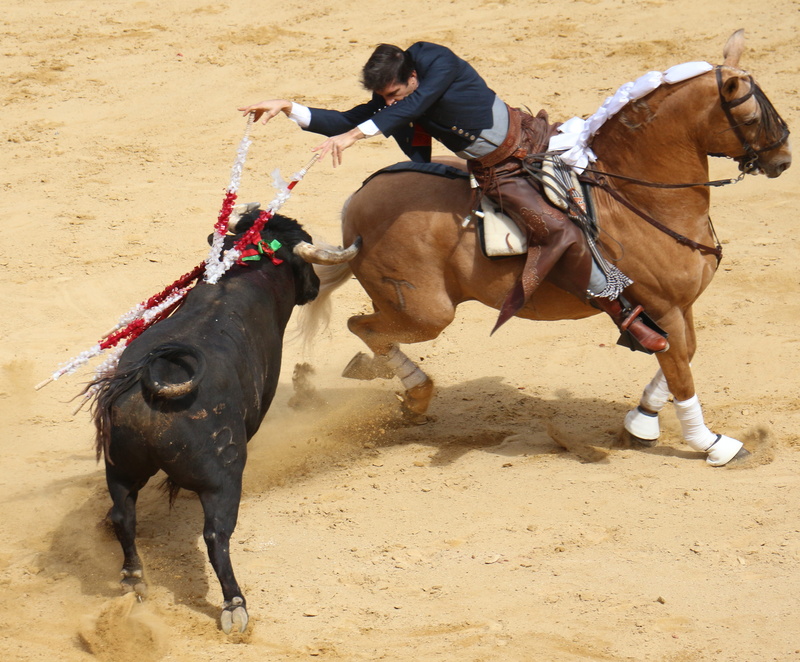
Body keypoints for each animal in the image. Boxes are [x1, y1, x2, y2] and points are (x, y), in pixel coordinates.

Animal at [88, 212, 320, 633]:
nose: (316, 287)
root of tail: (156, 381)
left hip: (120, 467)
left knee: (123, 517)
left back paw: (133, 579)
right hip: (221, 479)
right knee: (215, 536)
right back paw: (234, 605)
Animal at [293, 31, 791, 467]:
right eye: (751, 118)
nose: (782, 160)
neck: (638, 194)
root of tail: (356, 201)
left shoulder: (679, 307)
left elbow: (681, 359)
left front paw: (641, 423)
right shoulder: (663, 307)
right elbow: (681, 373)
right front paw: (713, 445)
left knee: (370, 328)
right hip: (426, 311)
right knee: (364, 326)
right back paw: (409, 390)